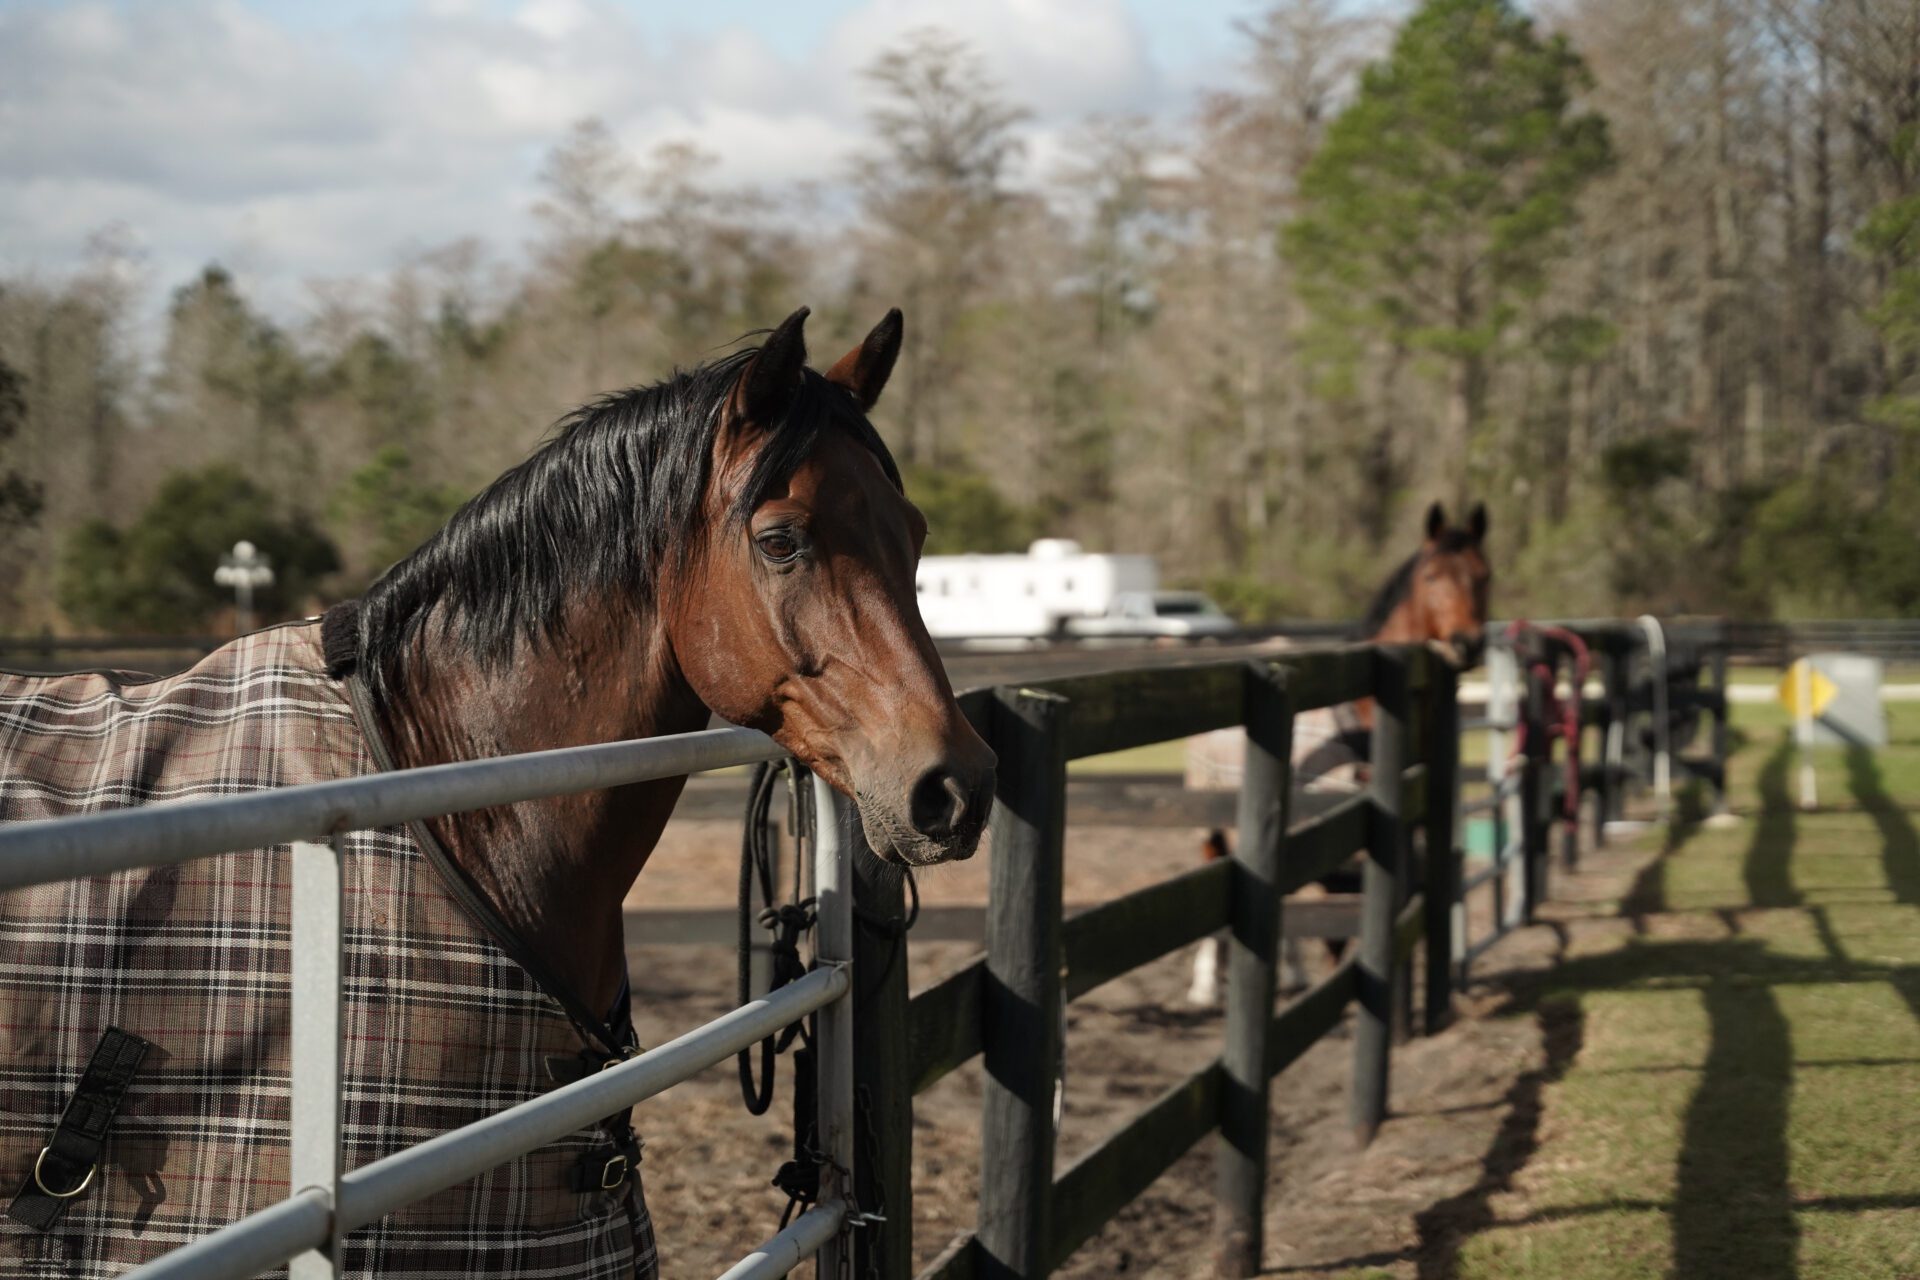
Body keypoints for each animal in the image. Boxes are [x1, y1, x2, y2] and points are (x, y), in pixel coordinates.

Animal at [1187, 502, 1490, 1003]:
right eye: (1431, 576)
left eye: (1484, 575)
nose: (1466, 642)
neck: (1367, 706)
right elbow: (1334, 931)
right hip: (1210, 820)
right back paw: (1205, 984)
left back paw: (1289, 974)